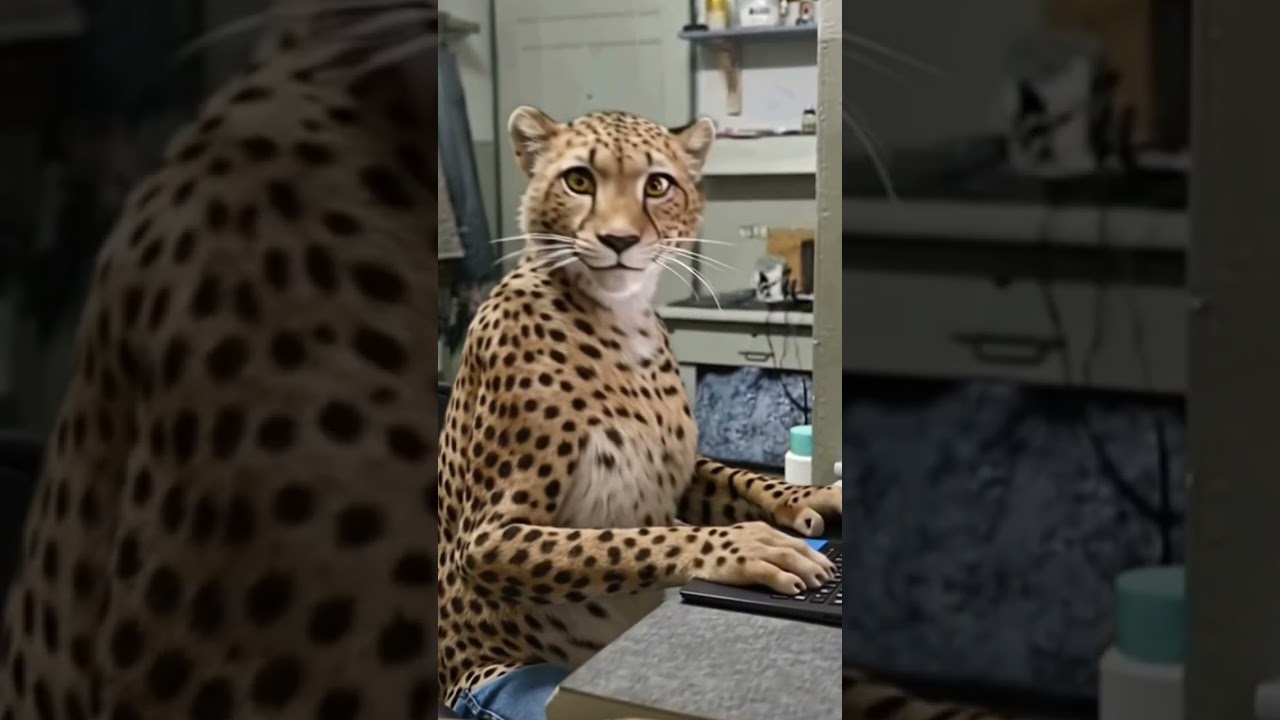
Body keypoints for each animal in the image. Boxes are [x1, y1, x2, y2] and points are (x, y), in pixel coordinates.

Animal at [436, 106, 1009, 720]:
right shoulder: (487, 539)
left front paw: (814, 501)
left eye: (657, 185)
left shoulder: (682, 471)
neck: (621, 315)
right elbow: (630, 540)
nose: (619, 240)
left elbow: (739, 479)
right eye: (579, 180)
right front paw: (749, 547)